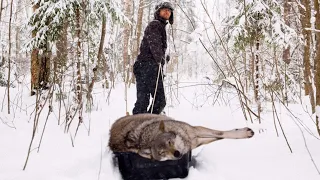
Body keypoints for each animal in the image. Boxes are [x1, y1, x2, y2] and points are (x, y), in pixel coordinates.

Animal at [109, 113, 254, 161]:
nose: (177, 154)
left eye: (169, 142)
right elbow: (219, 136)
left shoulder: (194, 132)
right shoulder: (195, 138)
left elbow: (220, 134)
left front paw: (242, 132)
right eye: (162, 153)